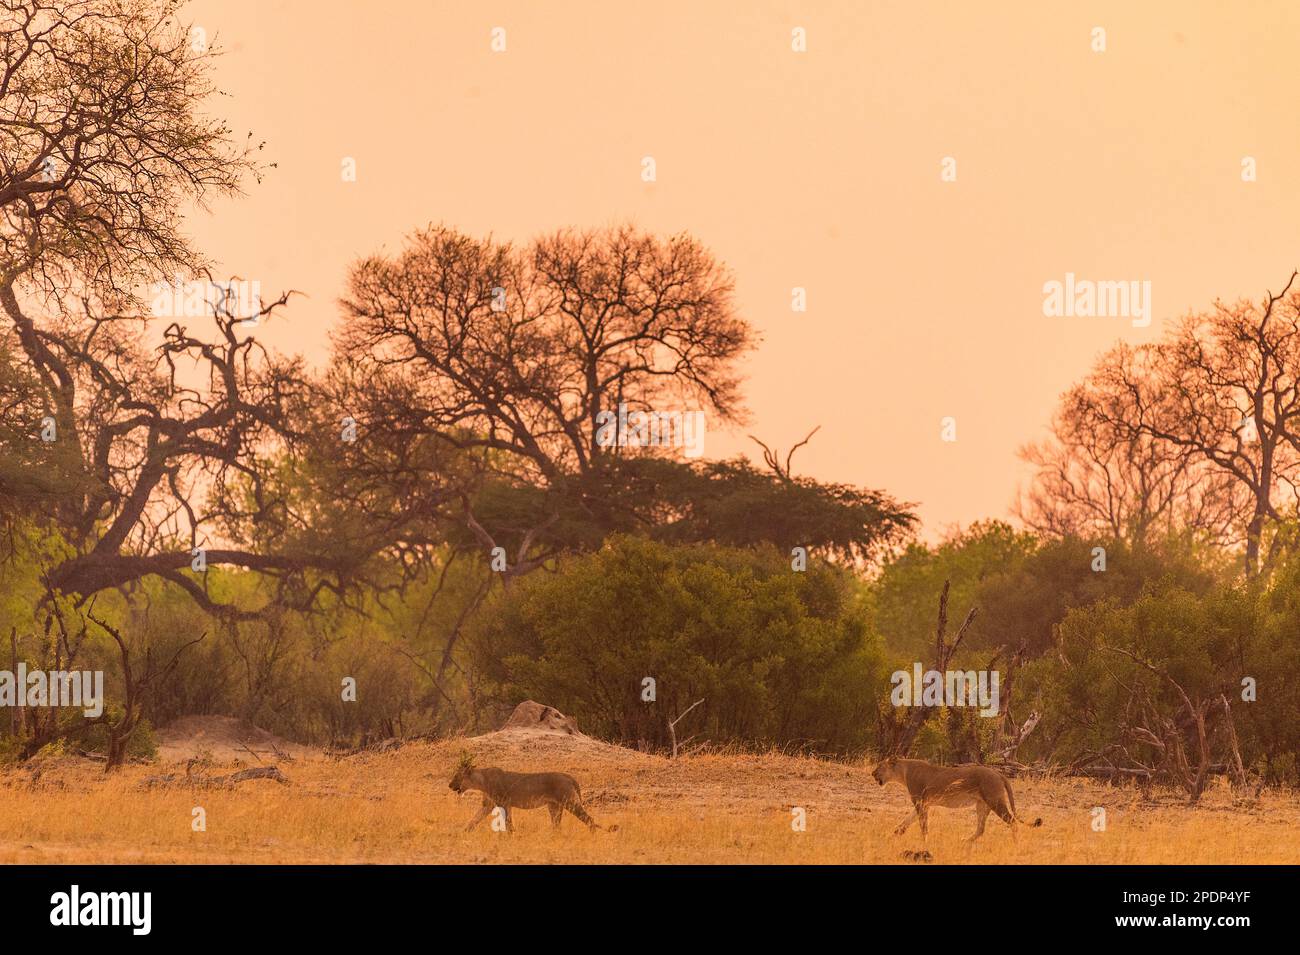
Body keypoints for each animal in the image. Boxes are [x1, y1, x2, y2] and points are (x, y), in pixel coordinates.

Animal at [447, 748, 608, 831]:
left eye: (457, 775)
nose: (449, 785)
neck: (481, 781)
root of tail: (569, 776)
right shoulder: (488, 805)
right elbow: (473, 820)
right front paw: (463, 833)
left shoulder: (504, 802)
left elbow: (508, 823)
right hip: (554, 806)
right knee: (557, 825)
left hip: (570, 802)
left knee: (589, 819)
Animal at [873, 758, 1045, 841]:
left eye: (879, 766)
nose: (872, 773)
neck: (903, 771)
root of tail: (998, 773)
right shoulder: (924, 803)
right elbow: (908, 820)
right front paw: (895, 833)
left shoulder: (920, 802)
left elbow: (923, 825)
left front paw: (924, 841)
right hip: (982, 805)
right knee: (981, 829)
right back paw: (965, 841)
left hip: (995, 801)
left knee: (1013, 822)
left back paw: (1016, 843)